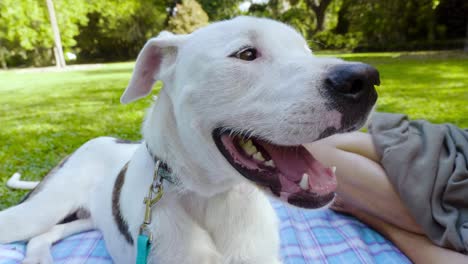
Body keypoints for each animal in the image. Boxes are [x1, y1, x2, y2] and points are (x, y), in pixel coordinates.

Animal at [0, 17, 376, 264]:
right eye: (246, 54)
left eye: (307, 51)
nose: (365, 79)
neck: (214, 199)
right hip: (37, 211)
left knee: (45, 234)